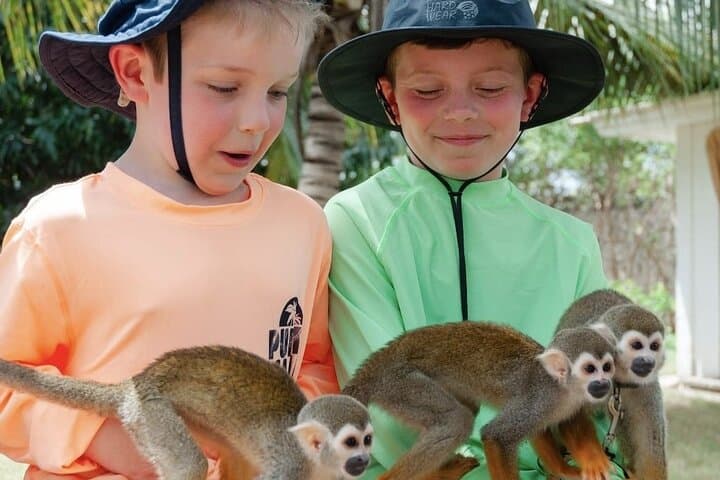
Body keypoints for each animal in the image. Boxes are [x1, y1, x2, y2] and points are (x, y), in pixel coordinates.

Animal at [0, 345, 373, 480]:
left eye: (368, 440)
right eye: (351, 443)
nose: (366, 459)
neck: (317, 464)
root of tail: (136, 383)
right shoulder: (290, 467)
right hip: (152, 416)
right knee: (190, 466)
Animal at [341, 321, 617, 480]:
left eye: (608, 366)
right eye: (590, 369)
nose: (605, 383)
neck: (563, 391)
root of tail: (379, 360)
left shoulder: (557, 406)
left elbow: (550, 428)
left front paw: (568, 468)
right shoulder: (540, 399)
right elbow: (496, 435)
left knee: (465, 411)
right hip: (400, 383)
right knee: (457, 420)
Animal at [555, 289, 667, 480]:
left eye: (654, 346)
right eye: (637, 345)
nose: (648, 361)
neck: (617, 378)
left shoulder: (645, 386)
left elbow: (649, 439)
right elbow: (569, 416)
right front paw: (593, 461)